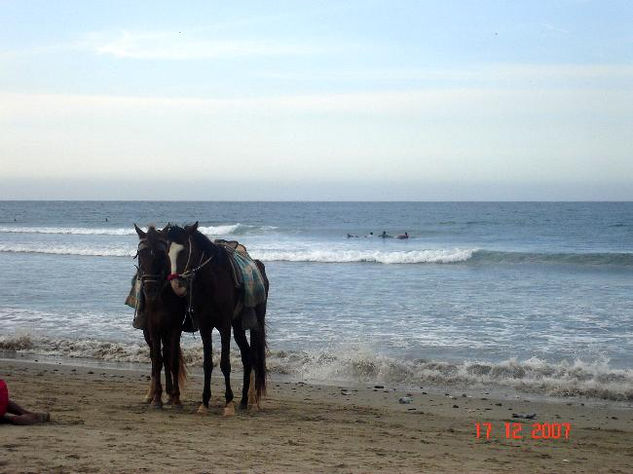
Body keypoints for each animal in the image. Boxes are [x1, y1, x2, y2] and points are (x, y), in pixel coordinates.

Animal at [131, 225, 185, 408]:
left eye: (161, 255)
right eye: (141, 255)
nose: (149, 290)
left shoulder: (175, 327)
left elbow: (172, 359)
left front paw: (175, 397)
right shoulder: (153, 328)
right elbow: (156, 359)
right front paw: (156, 397)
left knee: (167, 355)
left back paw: (170, 394)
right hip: (148, 332)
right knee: (156, 358)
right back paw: (151, 394)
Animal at [165, 222, 266, 414]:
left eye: (184, 250)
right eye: (168, 252)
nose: (176, 285)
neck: (212, 281)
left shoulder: (224, 326)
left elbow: (225, 363)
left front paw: (228, 403)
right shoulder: (205, 326)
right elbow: (207, 363)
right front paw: (204, 402)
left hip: (255, 322)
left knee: (254, 357)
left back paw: (251, 402)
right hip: (238, 326)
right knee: (247, 356)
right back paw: (243, 401)